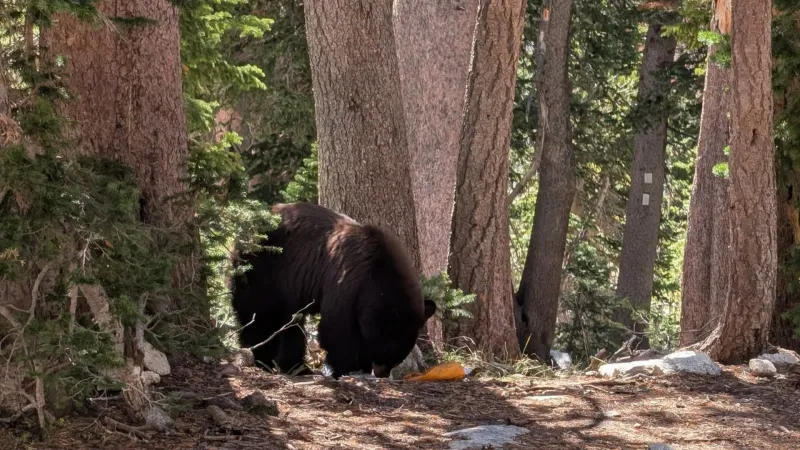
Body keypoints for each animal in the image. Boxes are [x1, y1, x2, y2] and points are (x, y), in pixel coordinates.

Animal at [230, 202, 436, 378]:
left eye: (399, 355)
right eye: (387, 349)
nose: (382, 373)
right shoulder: (346, 282)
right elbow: (337, 327)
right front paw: (347, 368)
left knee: (292, 324)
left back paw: (297, 367)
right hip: (260, 270)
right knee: (259, 316)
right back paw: (262, 359)